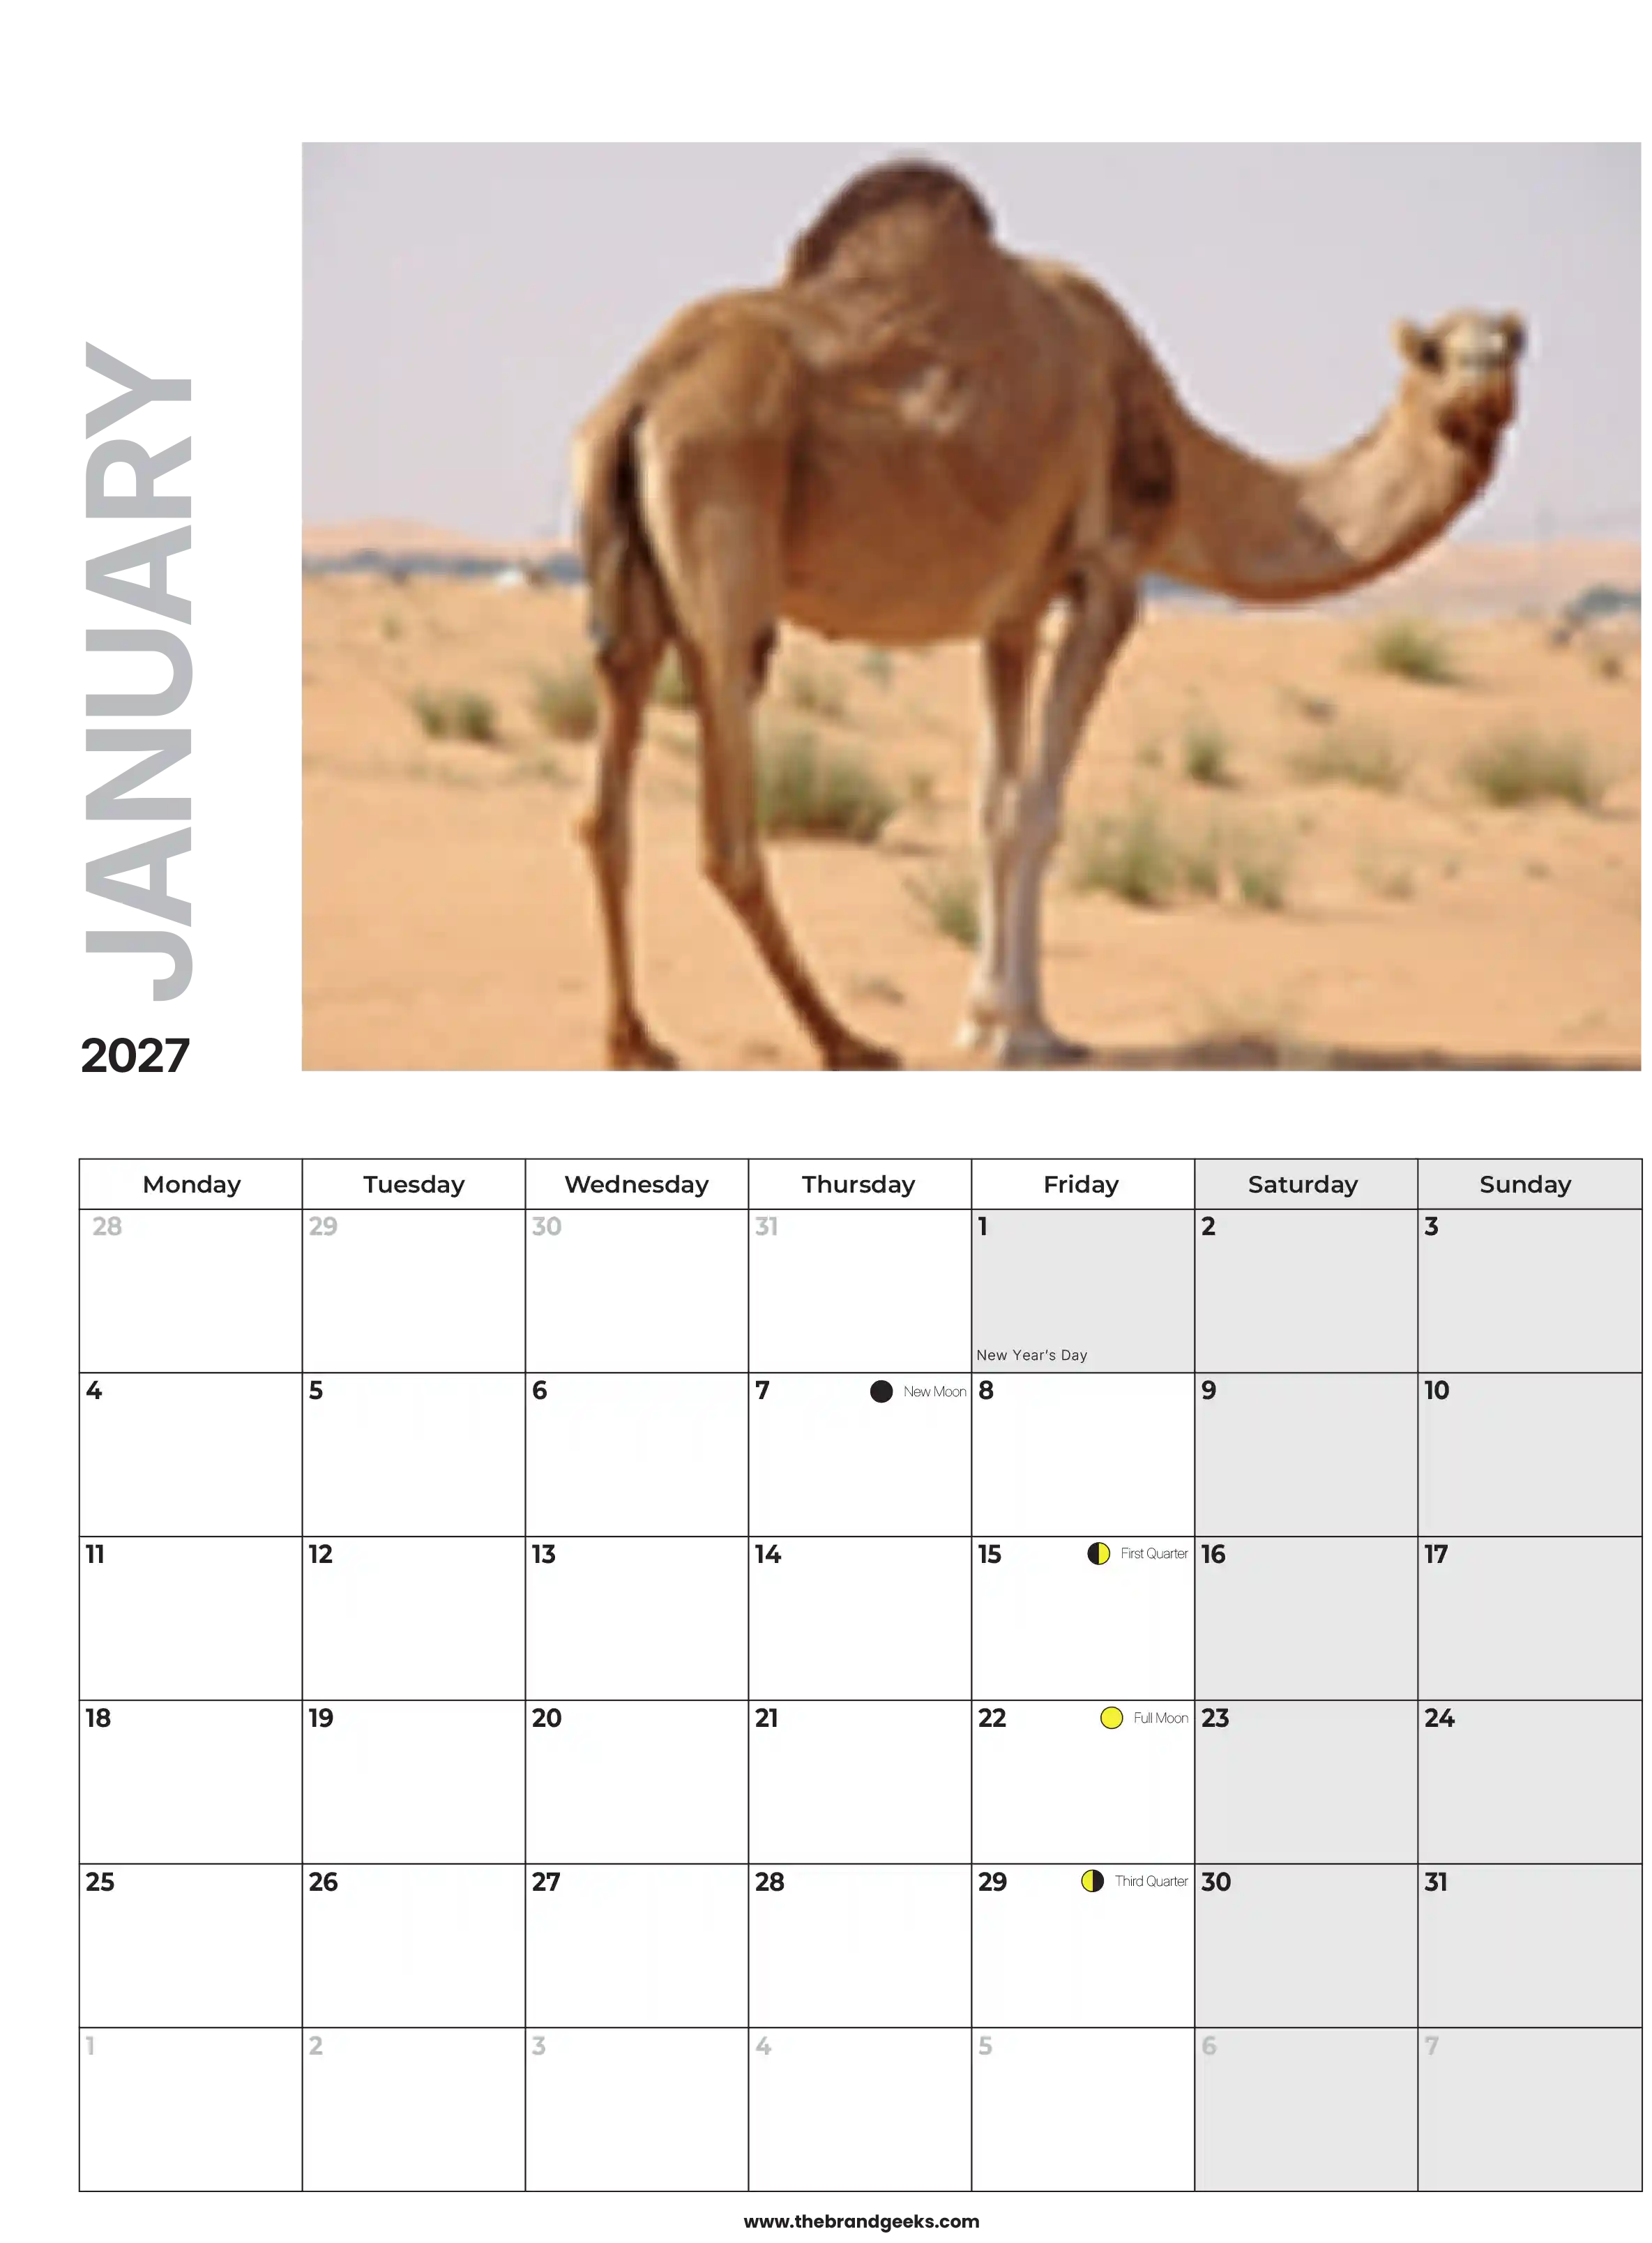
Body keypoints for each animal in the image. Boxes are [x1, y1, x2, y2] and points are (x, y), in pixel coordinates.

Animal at [573, 160, 1524, 1069]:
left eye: (1513, 341)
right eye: (1434, 350)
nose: (1486, 368)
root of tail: (639, 395)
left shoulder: (1011, 611)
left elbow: (993, 802)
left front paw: (983, 1020)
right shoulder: (1108, 577)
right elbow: (1037, 807)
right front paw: (1027, 1029)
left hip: (628, 584)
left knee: (603, 790)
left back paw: (636, 1040)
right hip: (724, 526)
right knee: (726, 815)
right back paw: (845, 1040)